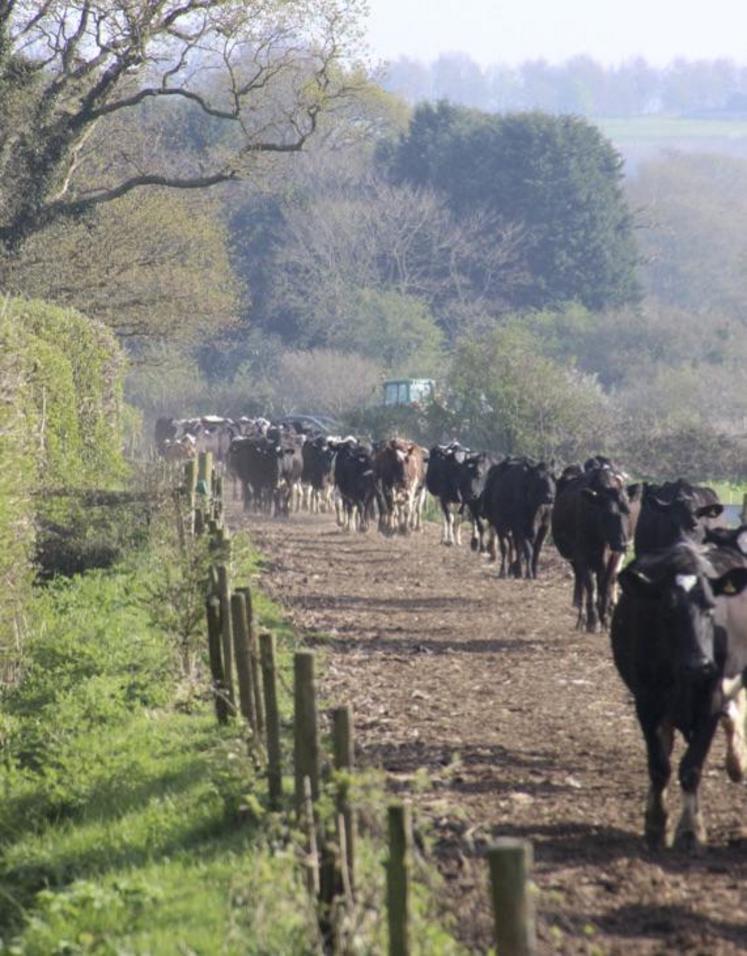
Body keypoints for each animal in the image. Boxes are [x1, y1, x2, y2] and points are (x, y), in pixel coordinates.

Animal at [552, 460, 640, 632]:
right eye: (608, 513)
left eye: (627, 511)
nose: (623, 544)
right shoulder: (581, 556)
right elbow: (591, 586)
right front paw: (593, 621)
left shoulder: (614, 556)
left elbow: (605, 585)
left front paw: (605, 618)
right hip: (576, 561)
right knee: (582, 586)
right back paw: (582, 619)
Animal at [612, 540, 747, 848]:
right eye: (668, 610)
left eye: (711, 607)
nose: (698, 664)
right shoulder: (647, 702)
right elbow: (659, 765)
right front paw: (656, 822)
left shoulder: (711, 699)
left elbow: (691, 767)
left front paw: (690, 830)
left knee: (735, 713)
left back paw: (737, 762)